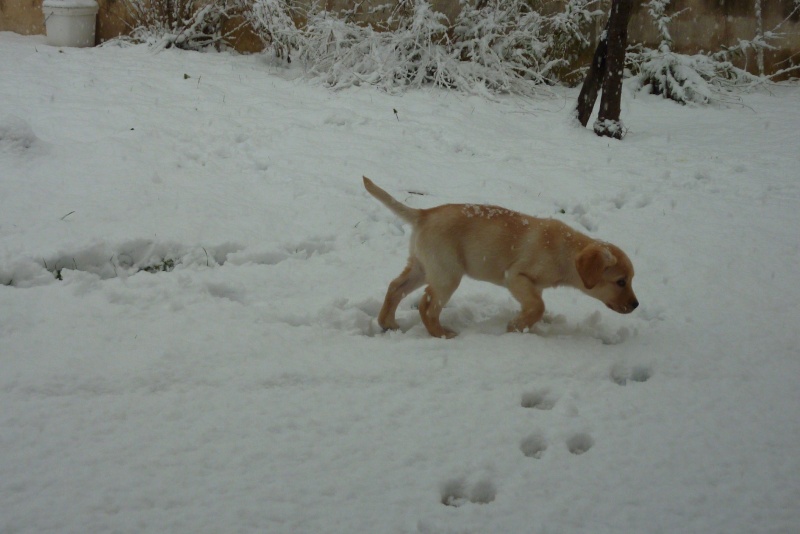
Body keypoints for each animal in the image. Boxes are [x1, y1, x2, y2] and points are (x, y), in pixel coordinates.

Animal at [366, 179, 640, 340]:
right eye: (621, 282)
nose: (636, 305)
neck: (566, 251)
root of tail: (424, 214)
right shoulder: (516, 276)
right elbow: (538, 306)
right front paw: (516, 327)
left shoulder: (532, 287)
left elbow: (535, 304)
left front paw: (525, 324)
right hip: (447, 274)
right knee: (427, 306)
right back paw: (443, 334)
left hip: (423, 267)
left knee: (395, 287)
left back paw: (388, 323)